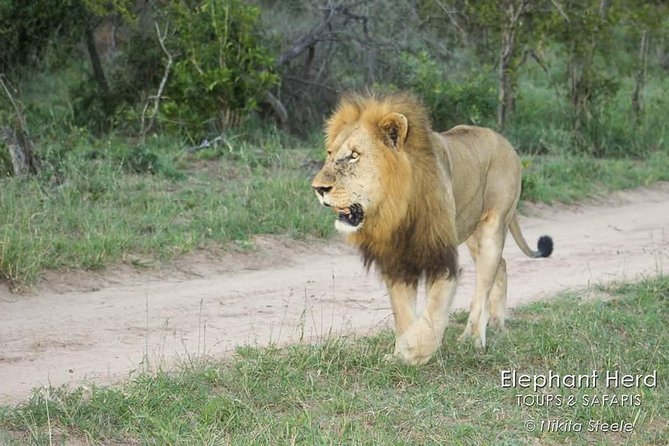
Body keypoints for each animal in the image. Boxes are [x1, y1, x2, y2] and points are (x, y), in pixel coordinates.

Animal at [310, 91, 552, 366]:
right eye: (329, 153)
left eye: (354, 155)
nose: (317, 188)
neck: (398, 210)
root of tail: (505, 142)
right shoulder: (397, 263)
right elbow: (405, 316)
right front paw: (399, 355)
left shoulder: (440, 259)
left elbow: (430, 316)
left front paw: (412, 353)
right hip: (471, 234)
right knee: (501, 266)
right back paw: (497, 324)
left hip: (493, 225)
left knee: (483, 285)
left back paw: (473, 339)